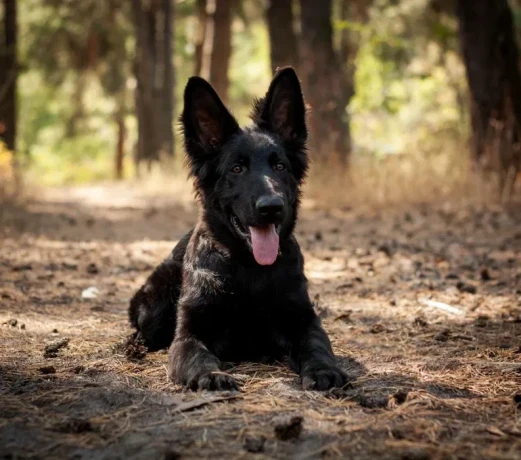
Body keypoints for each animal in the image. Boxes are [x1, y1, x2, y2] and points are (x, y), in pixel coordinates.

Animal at [128, 68, 348, 392]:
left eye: (280, 166)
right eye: (236, 169)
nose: (272, 207)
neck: (248, 268)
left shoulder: (305, 321)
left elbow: (318, 345)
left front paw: (323, 369)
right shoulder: (189, 335)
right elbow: (197, 356)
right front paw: (210, 375)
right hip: (155, 305)